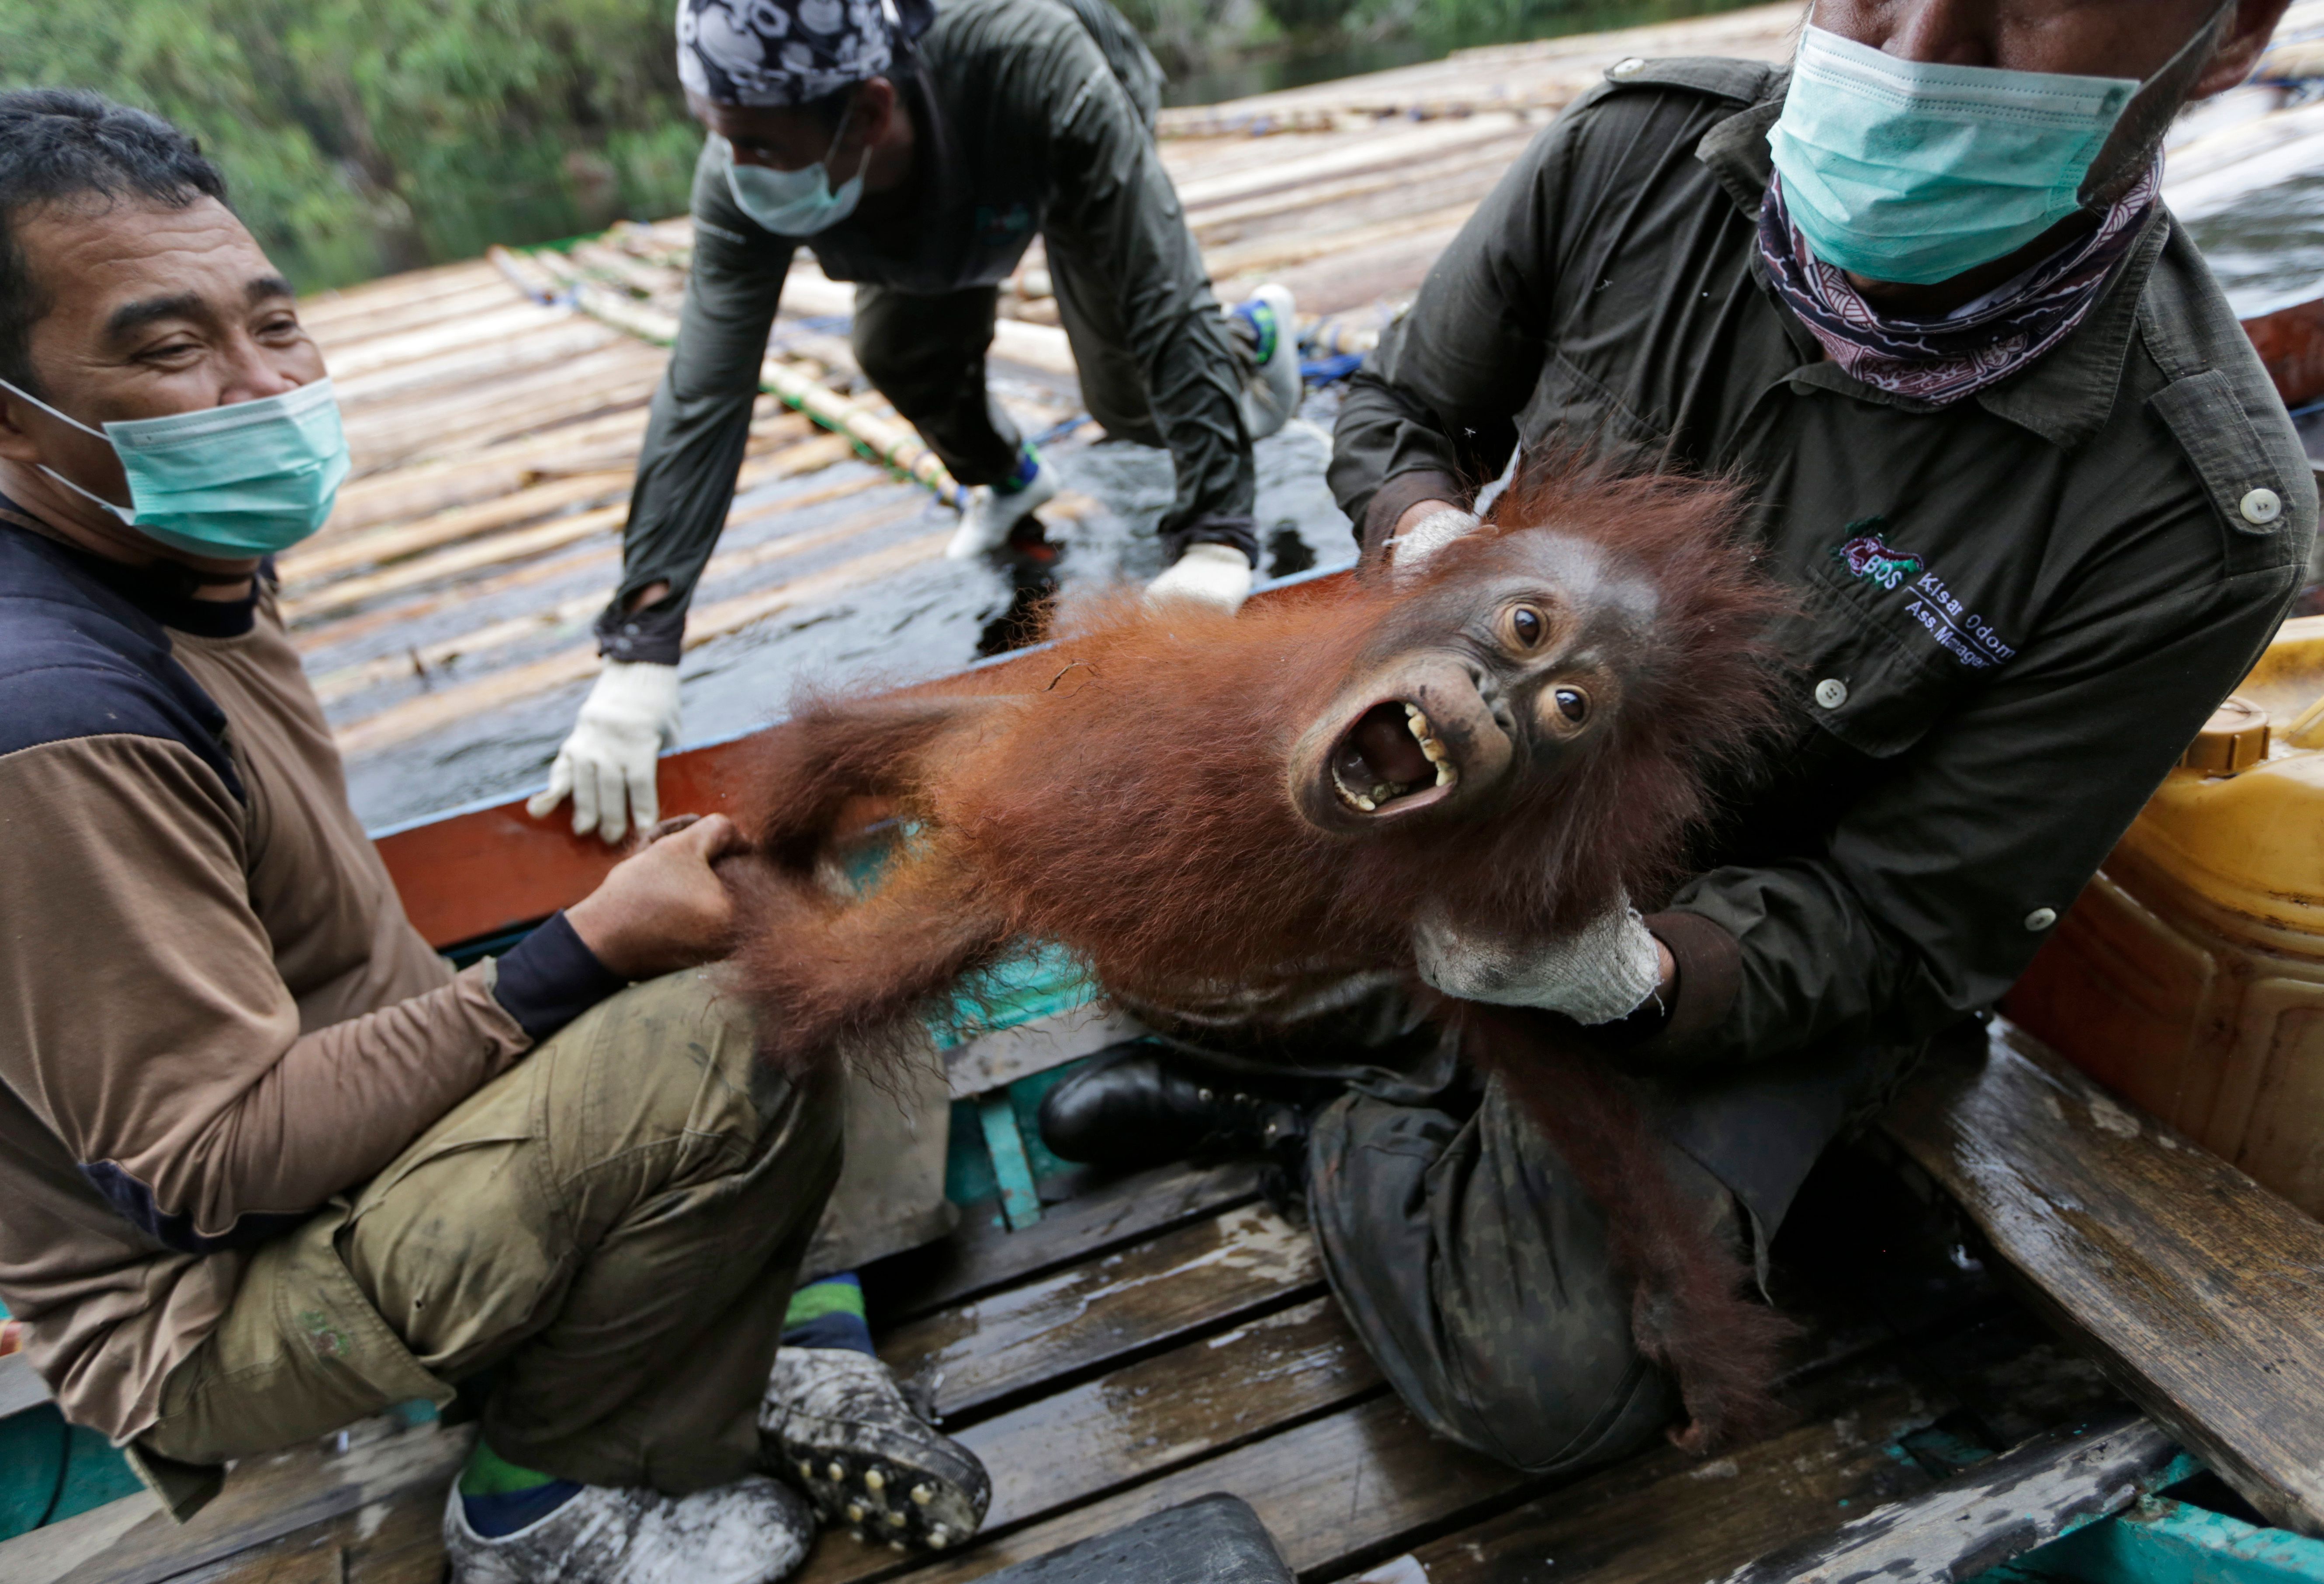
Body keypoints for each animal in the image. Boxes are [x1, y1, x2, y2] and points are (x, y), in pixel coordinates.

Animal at [729, 457, 1795, 1450]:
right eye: (1526, 625)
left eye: (1568, 707)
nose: (1494, 703)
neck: (1286, 771)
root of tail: (965, 820)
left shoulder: (1453, 924)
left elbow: (1549, 1068)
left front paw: (1681, 1327)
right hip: (998, 736)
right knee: (834, 745)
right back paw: (760, 843)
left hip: (972, 867)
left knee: (826, 979)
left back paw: (743, 893)